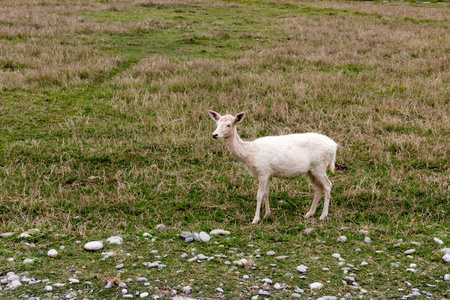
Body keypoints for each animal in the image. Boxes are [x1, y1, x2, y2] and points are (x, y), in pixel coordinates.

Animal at [208, 110, 338, 223]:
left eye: (229, 125)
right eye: (217, 123)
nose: (214, 134)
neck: (248, 153)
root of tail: (334, 146)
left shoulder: (263, 171)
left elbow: (259, 195)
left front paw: (255, 219)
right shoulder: (267, 172)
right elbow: (266, 193)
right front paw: (267, 215)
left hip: (320, 166)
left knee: (328, 185)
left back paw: (323, 215)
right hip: (311, 170)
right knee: (318, 188)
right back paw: (309, 214)